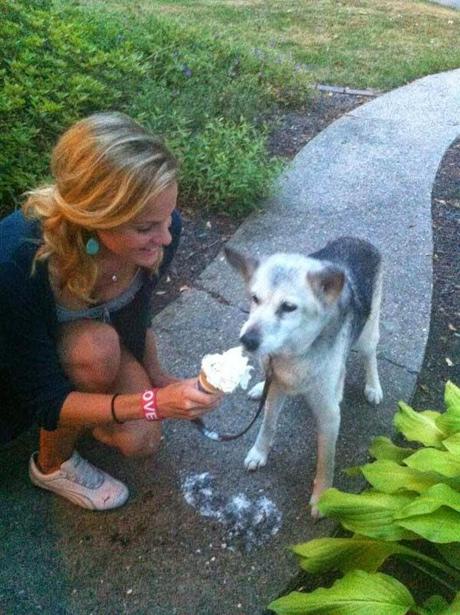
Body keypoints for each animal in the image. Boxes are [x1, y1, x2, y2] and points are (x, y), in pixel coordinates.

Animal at [225, 238, 382, 516]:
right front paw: (259, 452)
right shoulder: (276, 386)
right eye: (255, 298)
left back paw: (373, 385)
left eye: (288, 307)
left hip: (366, 333)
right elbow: (267, 424)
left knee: (369, 354)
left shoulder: (329, 415)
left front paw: (323, 498)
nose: (247, 340)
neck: (294, 355)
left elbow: (325, 461)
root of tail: (359, 240)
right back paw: (259, 387)